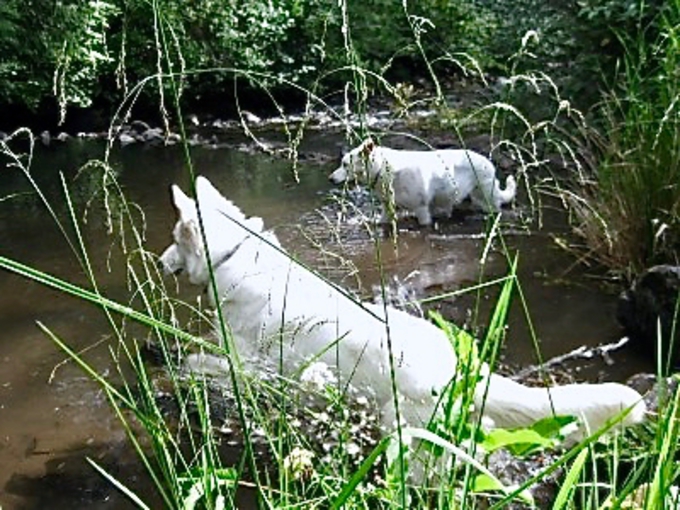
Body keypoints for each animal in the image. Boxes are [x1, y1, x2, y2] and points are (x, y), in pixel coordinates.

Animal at [161, 177, 648, 444]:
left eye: (173, 239)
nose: (160, 262)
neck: (233, 255)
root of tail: (461, 370)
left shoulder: (254, 365)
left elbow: (200, 361)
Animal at [330, 140, 516, 226]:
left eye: (345, 164)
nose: (330, 179)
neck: (383, 169)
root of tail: (489, 163)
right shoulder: (387, 209)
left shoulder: (422, 211)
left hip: (487, 197)